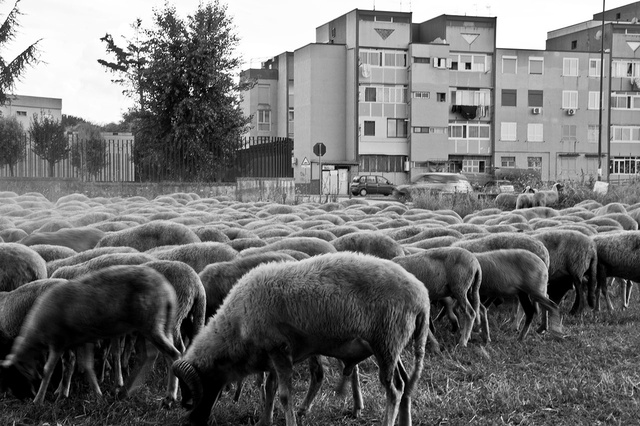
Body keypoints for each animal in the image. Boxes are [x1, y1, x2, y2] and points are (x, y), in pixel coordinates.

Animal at [1, 264, 181, 404]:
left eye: (14, 373)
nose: (25, 396)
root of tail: (165, 288)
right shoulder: (81, 340)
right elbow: (86, 366)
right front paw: (96, 395)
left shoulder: (58, 341)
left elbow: (48, 370)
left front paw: (38, 400)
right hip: (156, 326)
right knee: (150, 356)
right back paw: (127, 391)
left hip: (149, 325)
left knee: (172, 354)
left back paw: (168, 397)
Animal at [172, 251, 430, 426]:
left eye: (195, 391)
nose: (191, 421)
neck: (236, 326)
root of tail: (422, 296)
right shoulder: (273, 353)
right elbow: (270, 388)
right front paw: (265, 420)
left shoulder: (279, 348)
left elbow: (285, 395)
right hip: (392, 346)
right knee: (405, 383)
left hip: (386, 342)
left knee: (394, 389)